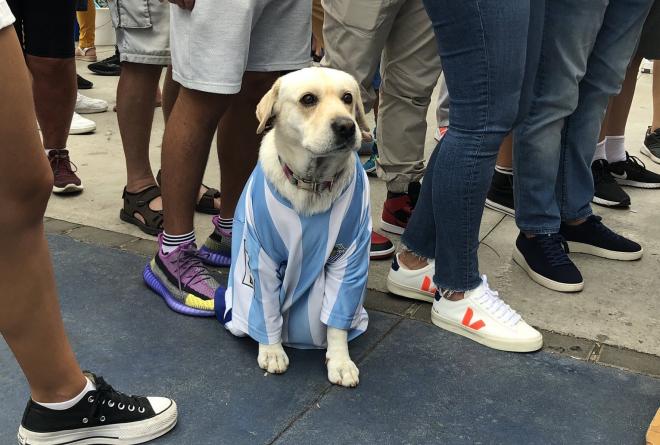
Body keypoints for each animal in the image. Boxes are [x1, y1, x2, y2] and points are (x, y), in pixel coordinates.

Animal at [217, 67, 372, 386]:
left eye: (348, 98)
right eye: (308, 99)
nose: (346, 127)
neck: (312, 183)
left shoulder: (351, 257)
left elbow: (337, 320)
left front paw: (340, 361)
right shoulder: (259, 258)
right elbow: (265, 309)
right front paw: (272, 352)